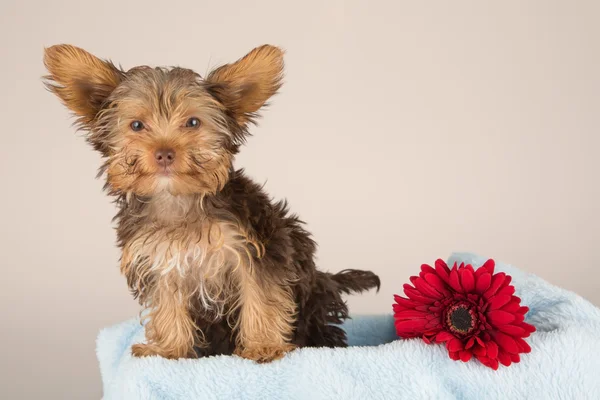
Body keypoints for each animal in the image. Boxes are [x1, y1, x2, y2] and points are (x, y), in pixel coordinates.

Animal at [43, 43, 380, 362]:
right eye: (137, 126)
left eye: (193, 123)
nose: (164, 153)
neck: (179, 199)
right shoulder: (160, 260)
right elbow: (167, 304)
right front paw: (168, 350)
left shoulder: (257, 251)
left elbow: (261, 296)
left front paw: (263, 345)